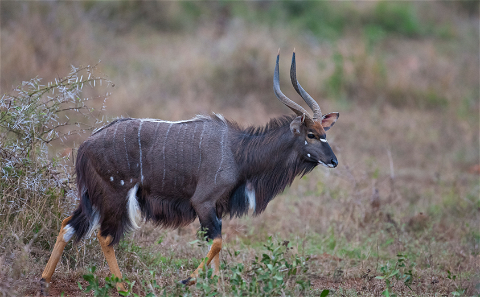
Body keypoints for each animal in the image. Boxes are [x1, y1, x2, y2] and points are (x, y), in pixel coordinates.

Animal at [41, 50, 340, 292]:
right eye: (312, 134)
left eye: (325, 132)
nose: (334, 161)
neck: (238, 152)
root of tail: (85, 146)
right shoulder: (202, 202)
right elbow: (217, 242)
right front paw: (187, 280)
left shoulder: (217, 207)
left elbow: (217, 245)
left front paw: (216, 285)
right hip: (115, 195)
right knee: (104, 236)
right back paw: (123, 286)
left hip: (94, 197)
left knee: (67, 225)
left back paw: (44, 280)